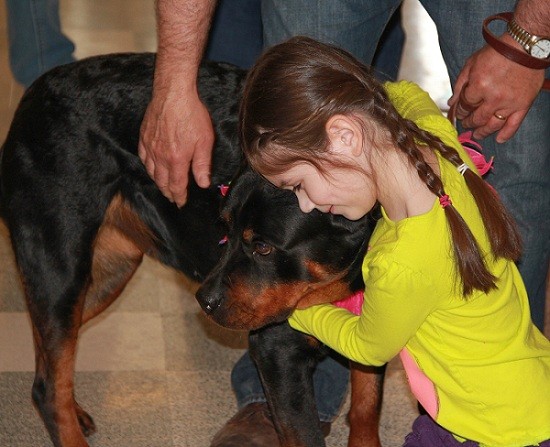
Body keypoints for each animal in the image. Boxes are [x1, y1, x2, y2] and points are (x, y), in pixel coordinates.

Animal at [0, 53, 386, 447]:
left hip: (106, 273)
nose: (205, 302)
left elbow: (367, 406)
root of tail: (32, 95)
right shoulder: (278, 349)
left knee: (48, 360)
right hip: (61, 267)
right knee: (50, 387)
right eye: (225, 229)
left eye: (263, 247)